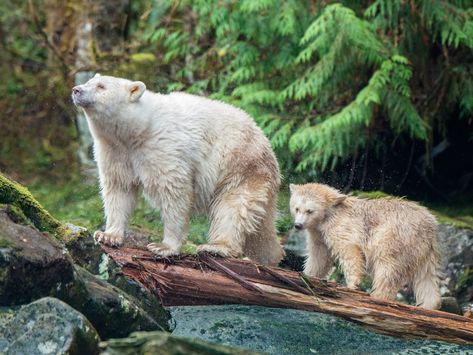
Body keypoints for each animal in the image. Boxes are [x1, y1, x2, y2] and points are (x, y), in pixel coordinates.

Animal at [72, 73, 282, 266]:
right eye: (89, 81)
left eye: (101, 86)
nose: (76, 90)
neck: (136, 131)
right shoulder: (115, 152)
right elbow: (118, 189)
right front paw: (108, 235)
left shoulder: (163, 149)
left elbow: (173, 193)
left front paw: (164, 247)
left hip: (241, 166)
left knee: (233, 207)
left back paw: (216, 247)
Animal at [290, 184, 440, 308]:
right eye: (296, 208)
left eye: (310, 211)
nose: (298, 225)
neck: (330, 214)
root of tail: (430, 226)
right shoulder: (318, 234)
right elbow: (319, 258)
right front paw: (308, 276)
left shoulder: (341, 226)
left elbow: (349, 251)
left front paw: (353, 285)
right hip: (423, 249)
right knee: (425, 277)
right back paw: (429, 305)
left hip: (395, 237)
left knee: (388, 268)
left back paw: (378, 297)